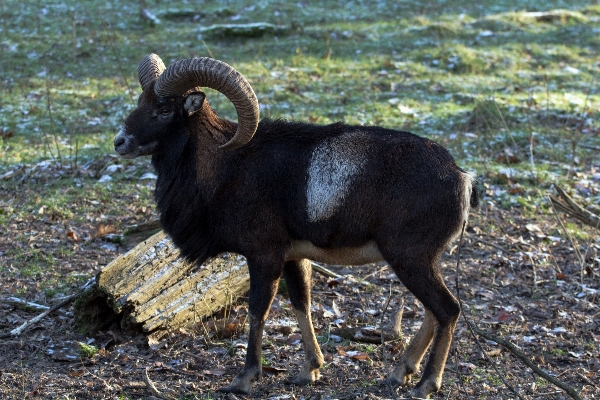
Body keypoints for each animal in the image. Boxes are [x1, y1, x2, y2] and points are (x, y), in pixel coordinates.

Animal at [112, 54, 478, 396]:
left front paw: (243, 380)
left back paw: (425, 384)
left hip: (409, 259)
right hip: (418, 262)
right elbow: (302, 305)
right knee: (433, 313)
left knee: (447, 310)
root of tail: (461, 178)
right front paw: (309, 372)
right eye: (141, 102)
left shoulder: (264, 256)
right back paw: (399, 373)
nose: (120, 142)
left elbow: (258, 312)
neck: (227, 167)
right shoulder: (294, 257)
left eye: (163, 110)